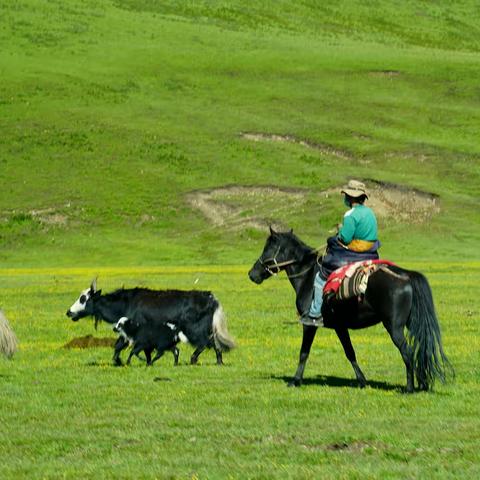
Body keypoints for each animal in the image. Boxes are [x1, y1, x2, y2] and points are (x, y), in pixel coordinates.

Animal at [65, 280, 234, 366]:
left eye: (83, 298)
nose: (69, 312)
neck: (126, 303)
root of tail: (211, 298)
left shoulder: (139, 331)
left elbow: (131, 347)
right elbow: (119, 346)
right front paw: (118, 361)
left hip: (195, 329)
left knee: (204, 343)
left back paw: (193, 360)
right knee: (214, 343)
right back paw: (218, 362)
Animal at [249, 229, 452, 394]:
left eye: (267, 248)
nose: (252, 274)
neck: (307, 277)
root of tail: (406, 275)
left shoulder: (309, 325)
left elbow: (304, 352)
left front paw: (295, 381)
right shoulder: (340, 327)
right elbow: (350, 352)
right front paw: (362, 381)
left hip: (394, 327)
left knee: (408, 352)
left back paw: (409, 388)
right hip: (411, 324)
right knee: (421, 350)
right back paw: (422, 384)